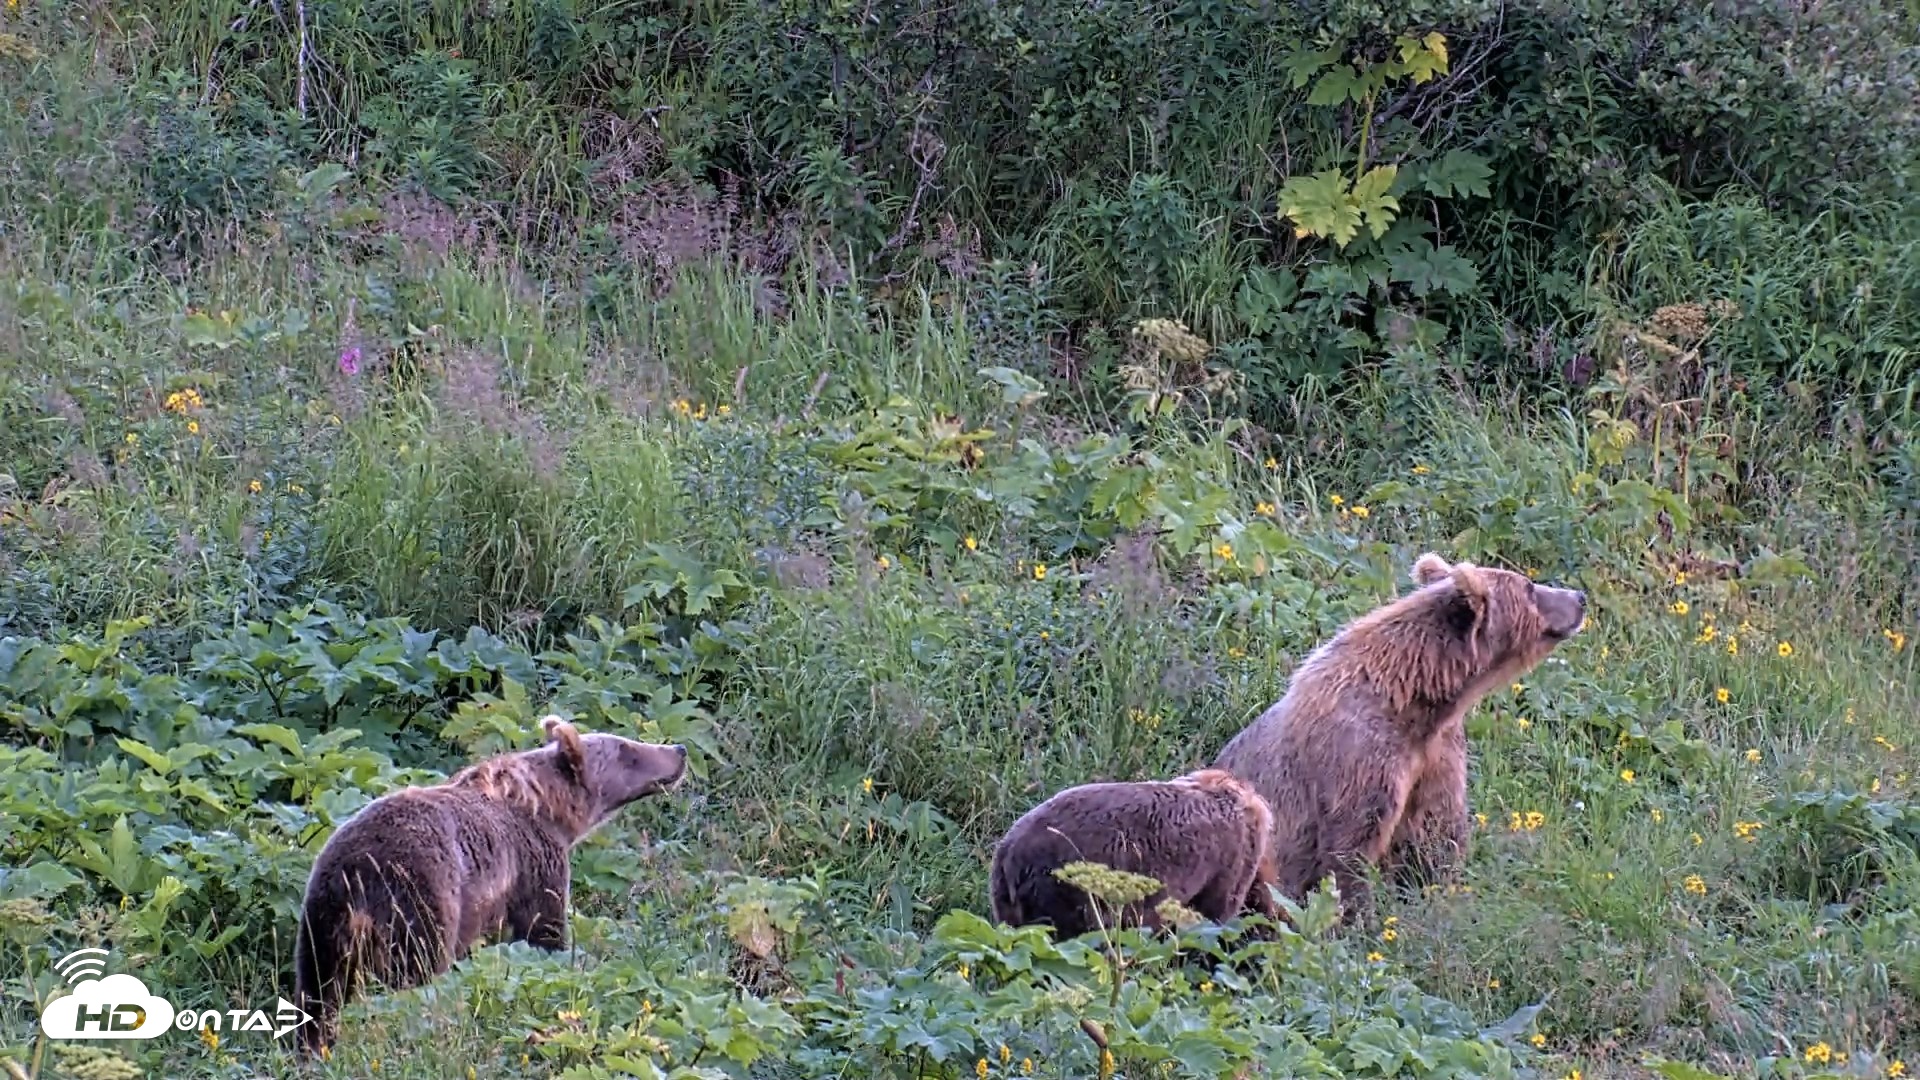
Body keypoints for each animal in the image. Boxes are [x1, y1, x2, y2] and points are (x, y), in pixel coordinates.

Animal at [292, 715, 689, 1058]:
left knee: (318, 993)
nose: (679, 749)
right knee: (415, 977)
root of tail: (356, 874)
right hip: (418, 899)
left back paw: (314, 1049)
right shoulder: (534, 864)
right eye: (628, 749)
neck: (553, 811)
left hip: (321, 920)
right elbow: (542, 930)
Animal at [1212, 552, 1586, 926]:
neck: (1416, 700)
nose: (1579, 598)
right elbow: (1350, 847)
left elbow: (1436, 832)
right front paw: (1359, 918)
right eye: (1529, 588)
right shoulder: (1359, 756)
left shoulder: (1436, 753)